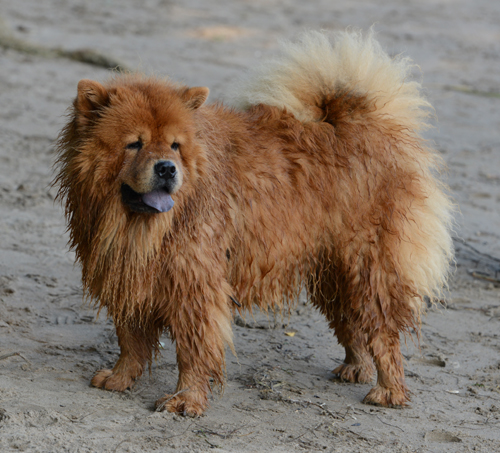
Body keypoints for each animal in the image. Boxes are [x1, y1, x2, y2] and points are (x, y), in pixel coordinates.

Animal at [54, 30, 454, 414]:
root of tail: (365, 122)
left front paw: (186, 400)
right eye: (134, 144)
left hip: (369, 267)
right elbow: (130, 338)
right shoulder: (127, 272)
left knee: (384, 332)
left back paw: (389, 391)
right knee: (352, 321)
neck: (141, 227)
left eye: (175, 146)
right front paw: (120, 379)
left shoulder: (193, 283)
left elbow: (193, 348)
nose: (167, 168)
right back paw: (356, 368)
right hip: (332, 271)